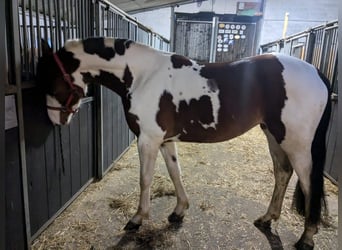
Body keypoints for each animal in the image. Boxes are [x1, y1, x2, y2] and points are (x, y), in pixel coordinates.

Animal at [36, 37, 332, 250]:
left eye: (51, 79)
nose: (54, 119)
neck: (142, 75)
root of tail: (316, 72)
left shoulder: (148, 139)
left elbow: (145, 179)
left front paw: (137, 219)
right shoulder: (165, 140)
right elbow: (175, 172)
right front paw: (179, 211)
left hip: (296, 143)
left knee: (308, 183)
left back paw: (307, 237)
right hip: (274, 135)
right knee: (282, 173)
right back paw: (267, 218)